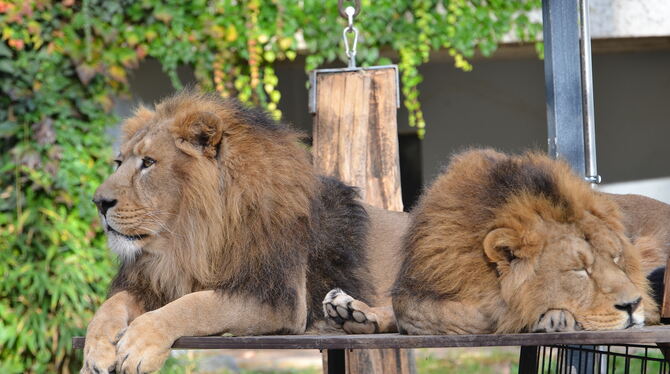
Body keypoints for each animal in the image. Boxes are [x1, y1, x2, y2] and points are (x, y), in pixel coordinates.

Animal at [84, 91, 410, 374]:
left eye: (148, 163)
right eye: (118, 162)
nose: (98, 202)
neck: (192, 238)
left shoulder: (277, 298)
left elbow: (196, 305)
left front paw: (139, 344)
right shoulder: (163, 281)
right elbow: (111, 304)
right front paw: (94, 352)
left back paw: (357, 313)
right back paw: (353, 316)